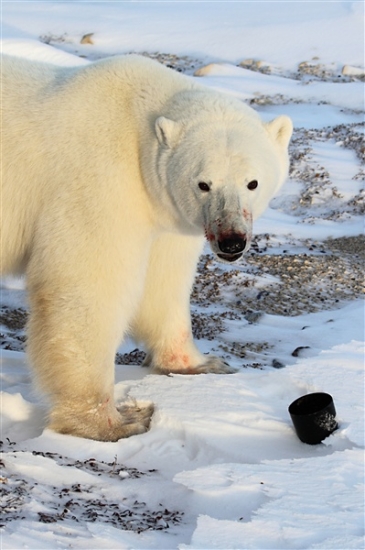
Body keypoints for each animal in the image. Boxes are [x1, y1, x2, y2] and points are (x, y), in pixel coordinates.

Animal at [0, 55, 290, 444]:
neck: (137, 131)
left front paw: (203, 364)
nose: (231, 240)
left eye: (252, 182)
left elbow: (163, 282)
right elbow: (87, 286)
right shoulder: (99, 183)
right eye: (203, 184)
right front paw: (112, 421)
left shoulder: (164, 211)